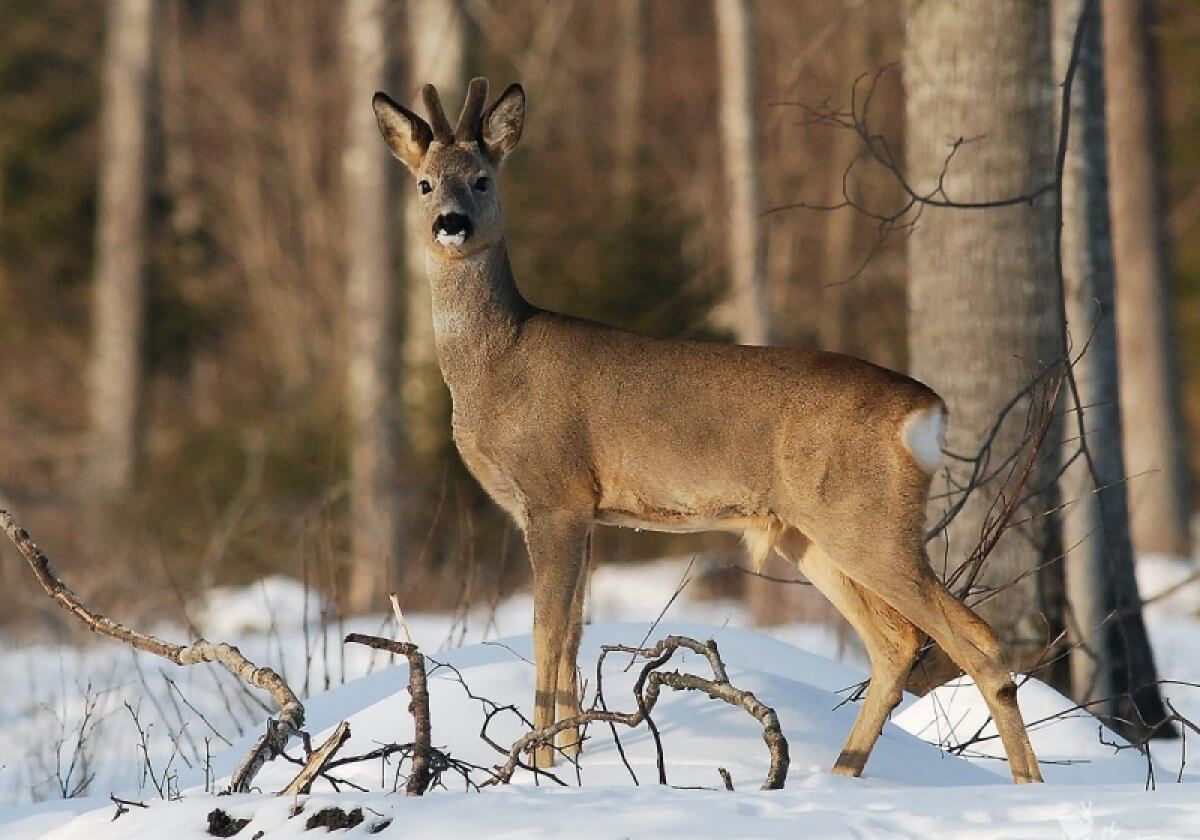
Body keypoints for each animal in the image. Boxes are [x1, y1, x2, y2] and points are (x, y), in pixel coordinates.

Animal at [372, 75, 1041, 782]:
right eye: (425, 183)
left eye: (481, 178)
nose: (451, 223)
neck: (498, 363)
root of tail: (928, 409)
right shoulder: (585, 510)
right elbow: (574, 633)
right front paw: (574, 762)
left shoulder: (554, 493)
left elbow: (546, 633)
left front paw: (542, 765)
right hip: (810, 533)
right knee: (896, 643)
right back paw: (838, 774)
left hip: (867, 521)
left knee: (974, 637)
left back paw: (1023, 782)